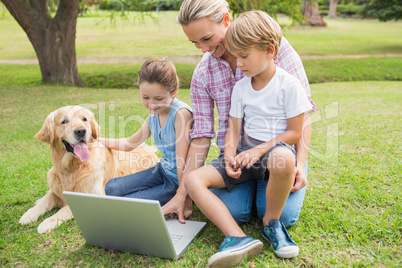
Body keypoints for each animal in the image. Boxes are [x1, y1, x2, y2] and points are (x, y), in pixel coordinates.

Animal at [19, 105, 159, 233]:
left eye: (84, 119)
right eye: (64, 121)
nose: (81, 131)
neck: (74, 167)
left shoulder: (95, 195)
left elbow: (66, 208)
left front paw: (47, 222)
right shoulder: (57, 186)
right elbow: (46, 200)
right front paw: (29, 215)